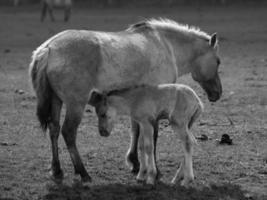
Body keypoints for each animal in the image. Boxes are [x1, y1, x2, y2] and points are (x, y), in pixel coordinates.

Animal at [28, 18, 222, 184]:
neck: (165, 44)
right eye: (218, 61)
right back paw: (83, 173)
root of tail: (48, 48)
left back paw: (57, 170)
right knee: (68, 133)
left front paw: (136, 164)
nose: (218, 93)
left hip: (56, 101)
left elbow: (136, 132)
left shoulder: (139, 107)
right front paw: (154, 172)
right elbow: (152, 138)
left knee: (54, 129)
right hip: (76, 104)